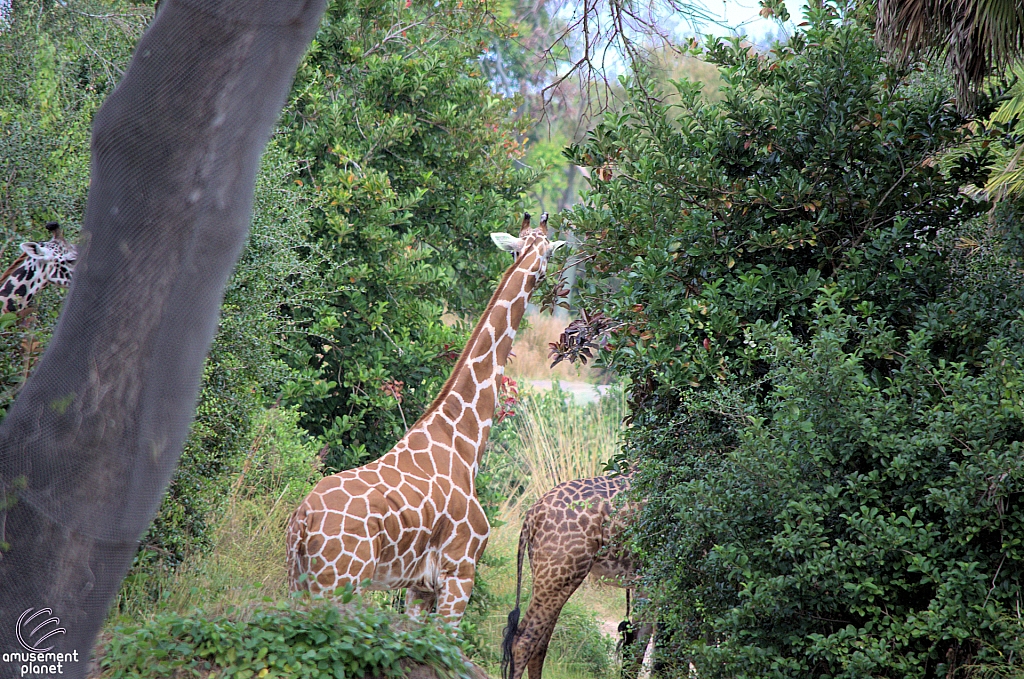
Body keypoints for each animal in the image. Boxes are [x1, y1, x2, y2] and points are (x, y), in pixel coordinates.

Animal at [284, 214, 565, 626]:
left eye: (523, 249)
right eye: (547, 253)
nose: (544, 277)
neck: (463, 438)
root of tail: (302, 522)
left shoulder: (420, 586)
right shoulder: (460, 573)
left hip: (300, 583)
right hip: (338, 585)